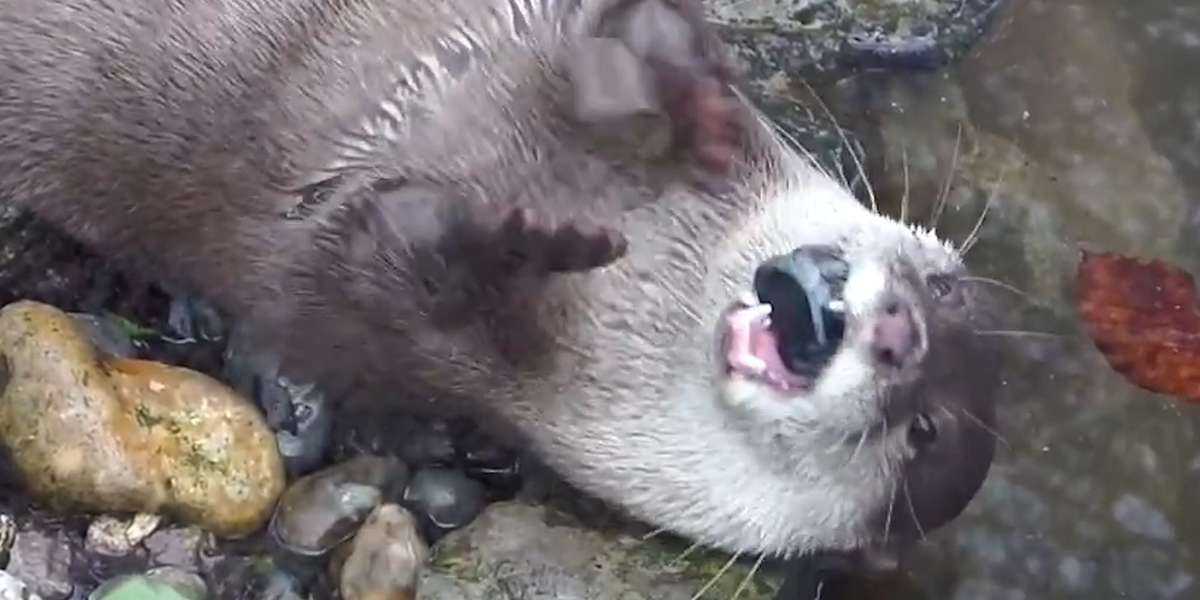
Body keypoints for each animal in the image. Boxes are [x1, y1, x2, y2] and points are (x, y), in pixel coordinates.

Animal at [0, 0, 1000, 570]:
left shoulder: (355, 319)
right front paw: (697, 103)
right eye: (948, 287)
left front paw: (517, 242)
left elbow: (376, 263)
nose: (902, 329)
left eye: (922, 431)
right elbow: (628, 43)